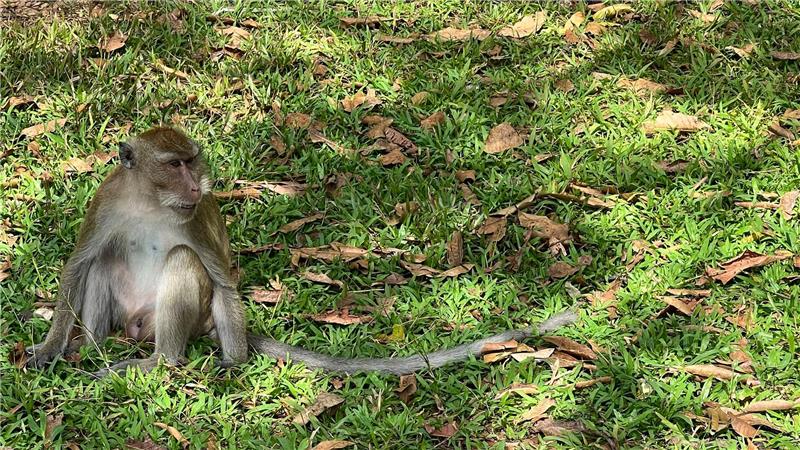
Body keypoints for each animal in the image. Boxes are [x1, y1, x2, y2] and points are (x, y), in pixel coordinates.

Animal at [26, 126, 577, 377]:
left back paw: (160, 361)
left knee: (184, 265)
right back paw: (92, 346)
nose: (199, 183)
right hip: (131, 316)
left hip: (186, 318)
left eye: (190, 161)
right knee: (104, 261)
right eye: (174, 164)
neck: (149, 200)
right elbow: (79, 263)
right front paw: (49, 348)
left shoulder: (194, 216)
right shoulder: (107, 201)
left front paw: (233, 362)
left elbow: (220, 277)